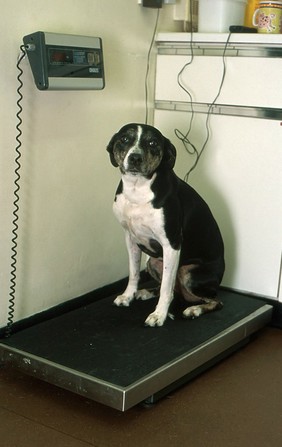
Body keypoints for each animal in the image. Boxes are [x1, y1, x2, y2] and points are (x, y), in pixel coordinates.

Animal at [107, 124, 226, 328]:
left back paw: (194, 309)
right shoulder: (130, 239)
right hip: (153, 262)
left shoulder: (171, 244)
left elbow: (166, 289)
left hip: (188, 273)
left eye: (153, 143)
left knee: (215, 301)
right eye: (124, 139)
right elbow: (133, 273)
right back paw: (146, 292)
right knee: (173, 288)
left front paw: (159, 315)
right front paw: (128, 295)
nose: (135, 158)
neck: (138, 189)